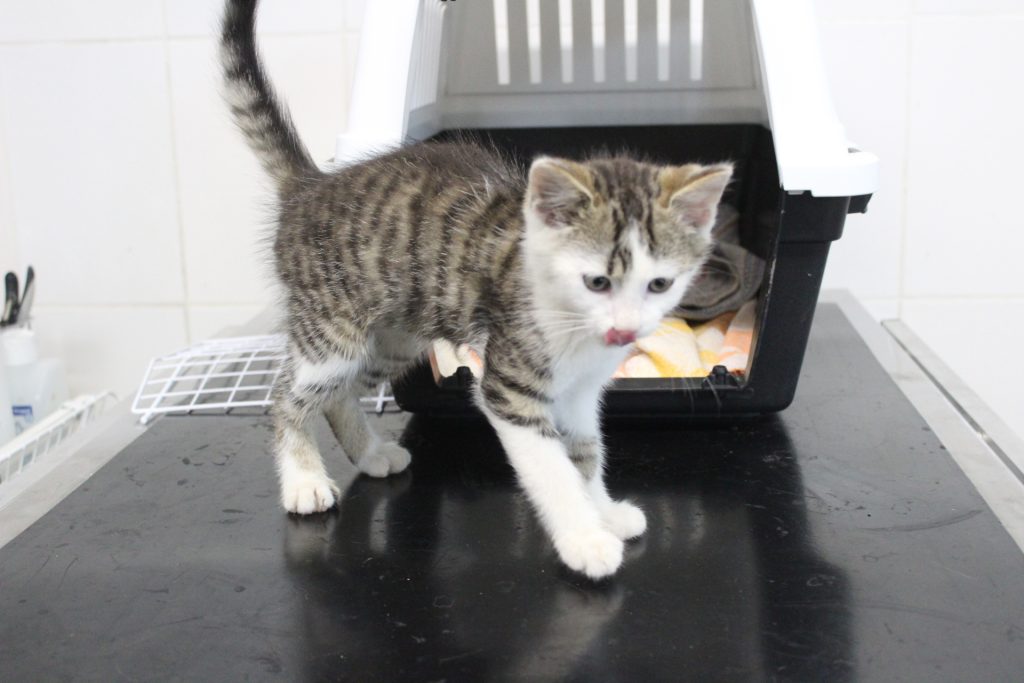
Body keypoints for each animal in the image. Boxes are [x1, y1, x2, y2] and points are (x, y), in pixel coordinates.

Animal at [221, 0, 731, 579]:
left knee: (339, 394)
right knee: (288, 395)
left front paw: (603, 511)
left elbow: (584, 451)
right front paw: (585, 539)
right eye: (597, 282)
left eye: (659, 284)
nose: (625, 331)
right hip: (333, 330)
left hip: (394, 340)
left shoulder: (581, 392)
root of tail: (310, 186)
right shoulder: (509, 387)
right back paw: (303, 478)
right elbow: (553, 467)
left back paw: (371, 454)